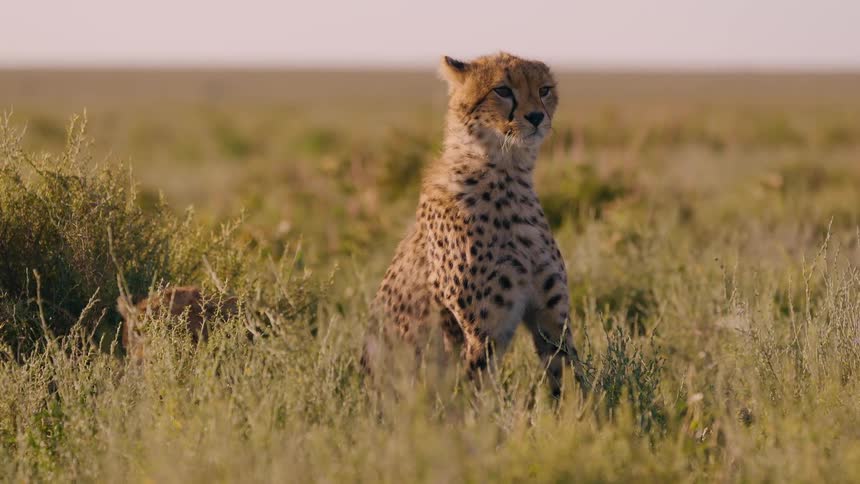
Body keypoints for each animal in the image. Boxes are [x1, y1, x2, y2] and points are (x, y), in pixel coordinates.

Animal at [371, 52, 587, 397]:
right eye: (502, 90)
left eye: (544, 90)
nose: (536, 117)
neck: (506, 174)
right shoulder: (481, 331)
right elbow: (478, 393)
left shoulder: (551, 315)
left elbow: (569, 376)